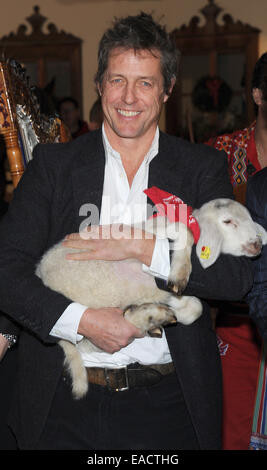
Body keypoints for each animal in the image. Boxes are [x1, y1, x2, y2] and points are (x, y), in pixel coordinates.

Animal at [36, 196, 267, 398]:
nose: (257, 244)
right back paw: (148, 317)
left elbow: (194, 308)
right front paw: (180, 273)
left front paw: (176, 306)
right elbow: (186, 233)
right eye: (228, 221)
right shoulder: (158, 230)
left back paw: (151, 318)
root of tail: (42, 274)